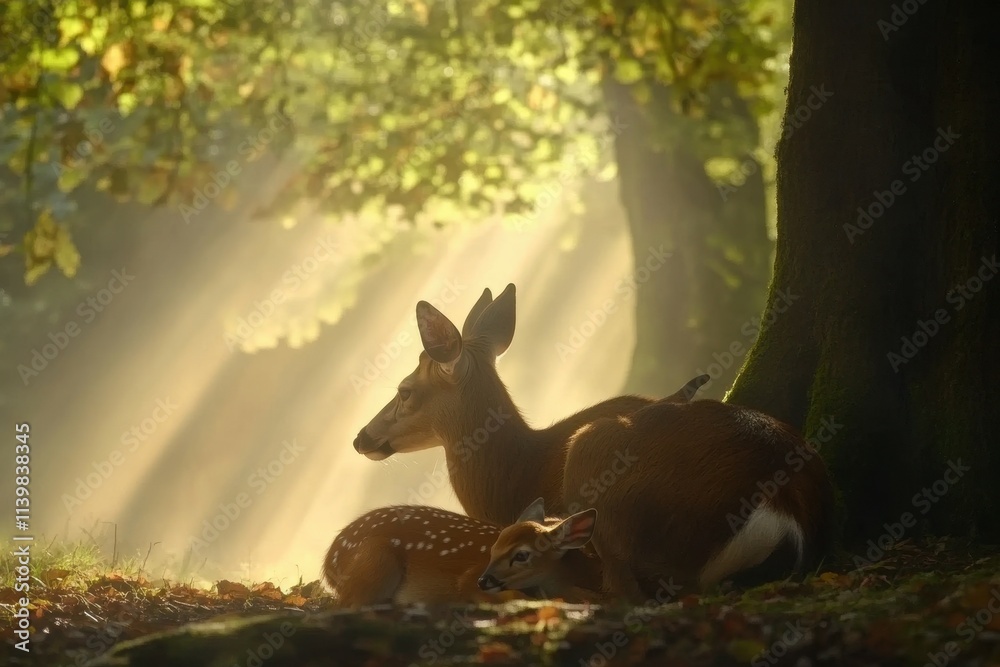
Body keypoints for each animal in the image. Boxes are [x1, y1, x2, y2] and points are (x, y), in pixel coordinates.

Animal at [323, 500, 603, 607]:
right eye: (492, 549)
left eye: (522, 555)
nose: (484, 580)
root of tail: (328, 562)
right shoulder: (469, 578)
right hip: (377, 561)